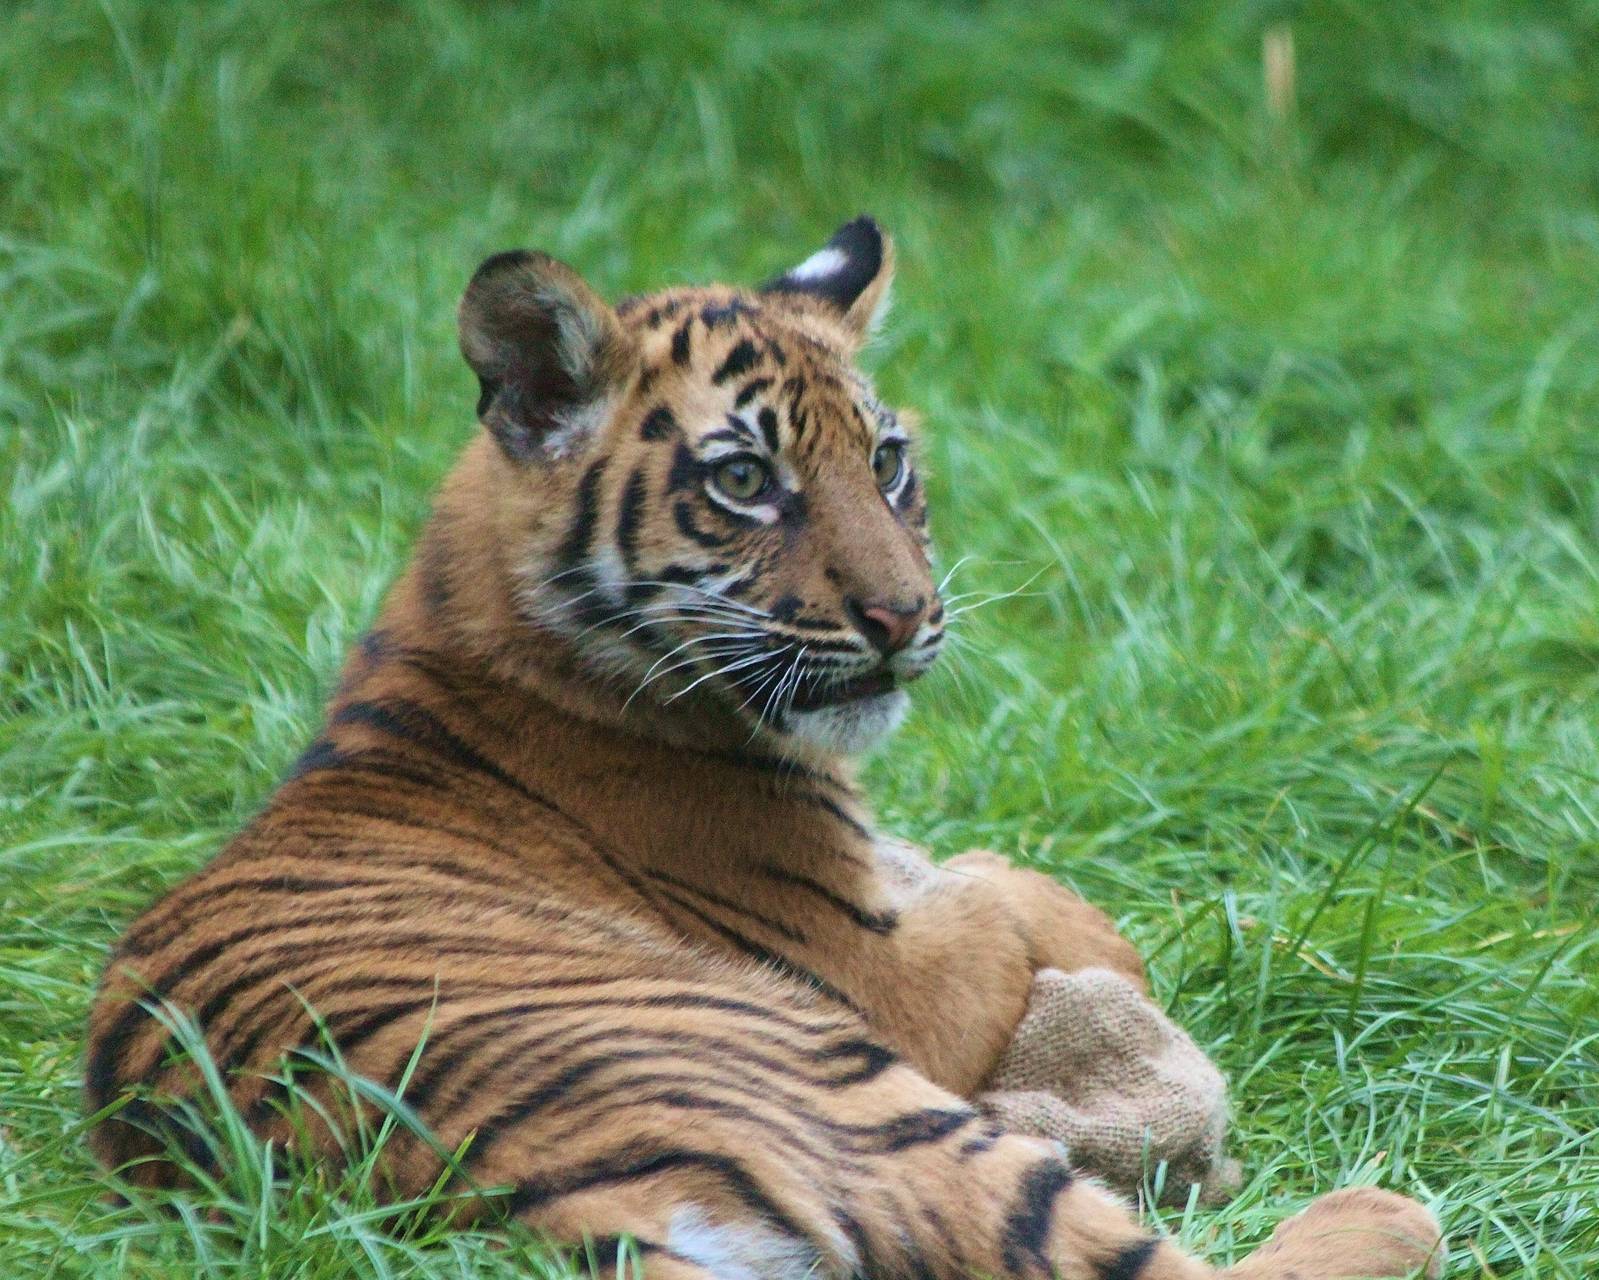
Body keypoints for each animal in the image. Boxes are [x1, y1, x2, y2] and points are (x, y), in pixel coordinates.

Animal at [86, 217, 1444, 1280]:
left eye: (886, 461)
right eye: (743, 478)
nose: (905, 615)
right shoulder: (887, 973)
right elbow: (1003, 890)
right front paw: (1101, 941)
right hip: (859, 1094)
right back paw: (1383, 1202)